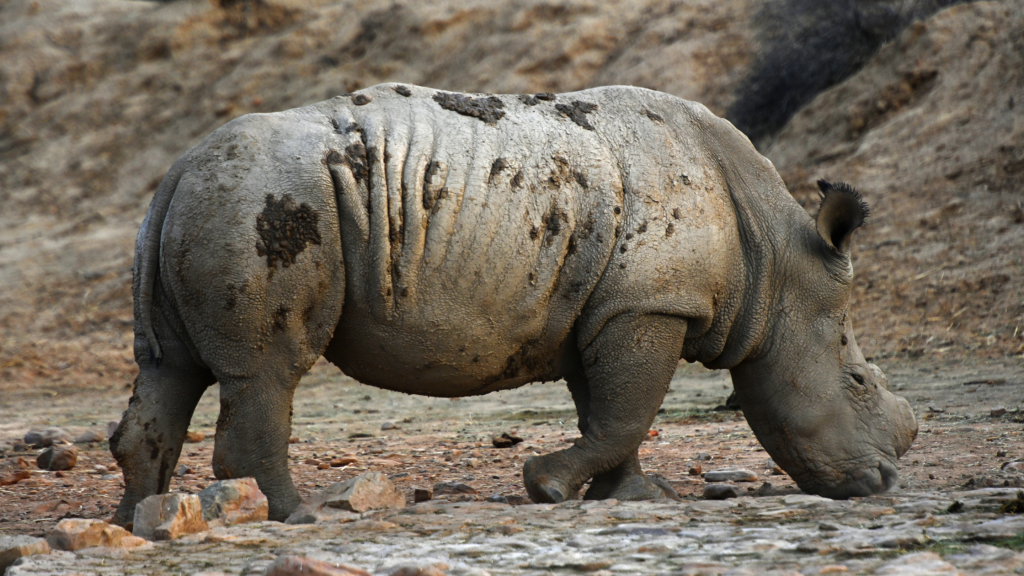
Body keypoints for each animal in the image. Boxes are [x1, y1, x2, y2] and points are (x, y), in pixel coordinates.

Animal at [112, 81, 921, 524]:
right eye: (856, 381)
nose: (885, 485)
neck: (776, 264)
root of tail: (176, 169)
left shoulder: (607, 308)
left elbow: (609, 409)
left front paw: (633, 498)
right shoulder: (652, 304)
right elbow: (627, 410)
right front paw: (549, 486)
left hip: (210, 201)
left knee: (169, 370)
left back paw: (144, 522)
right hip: (268, 200)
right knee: (270, 371)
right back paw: (297, 516)